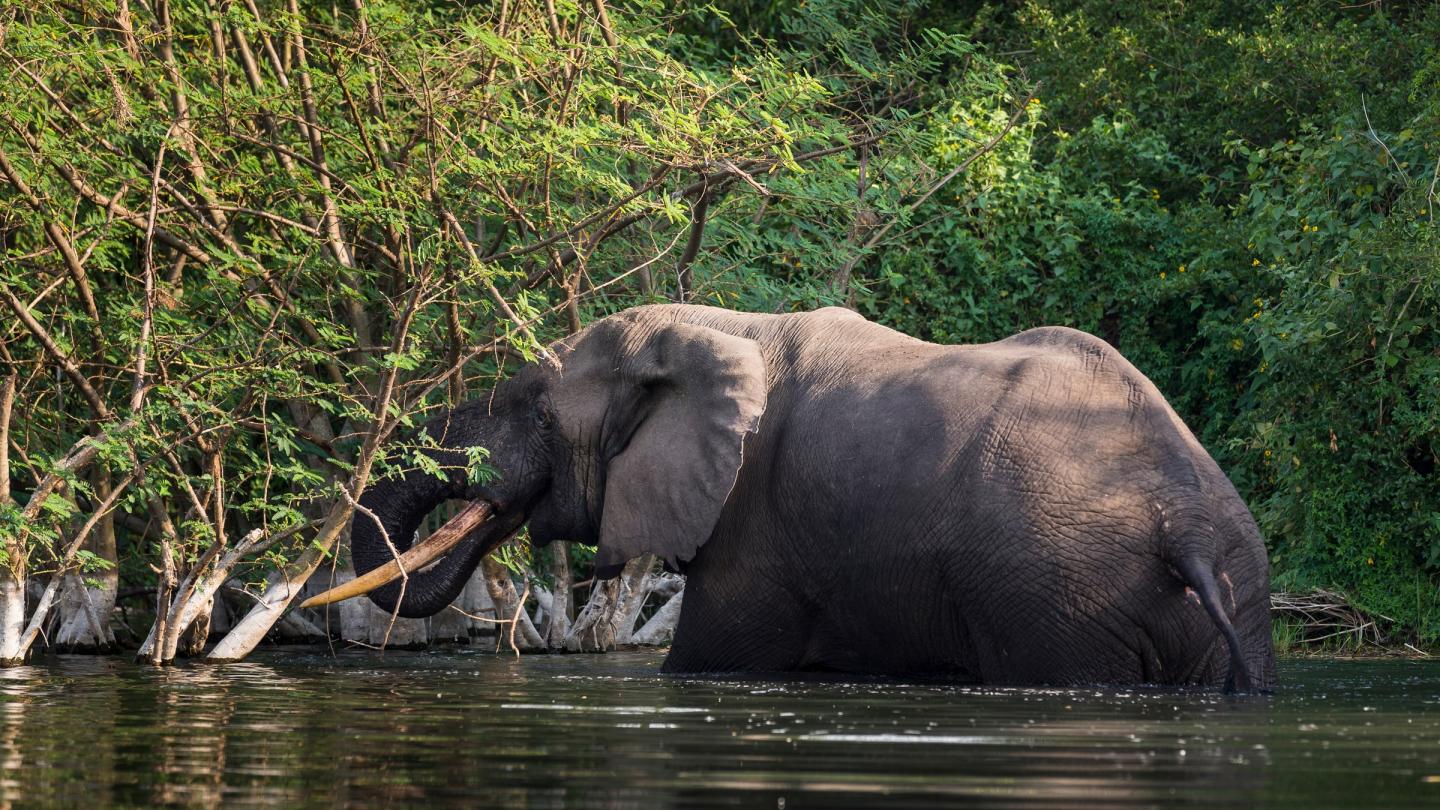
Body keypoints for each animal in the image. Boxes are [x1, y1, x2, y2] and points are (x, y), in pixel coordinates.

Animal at [321, 304, 1276, 689]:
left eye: (531, 408)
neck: (711, 327)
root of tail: (1188, 525)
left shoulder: (756, 528)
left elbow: (709, 662)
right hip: (1229, 590)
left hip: (1057, 589)